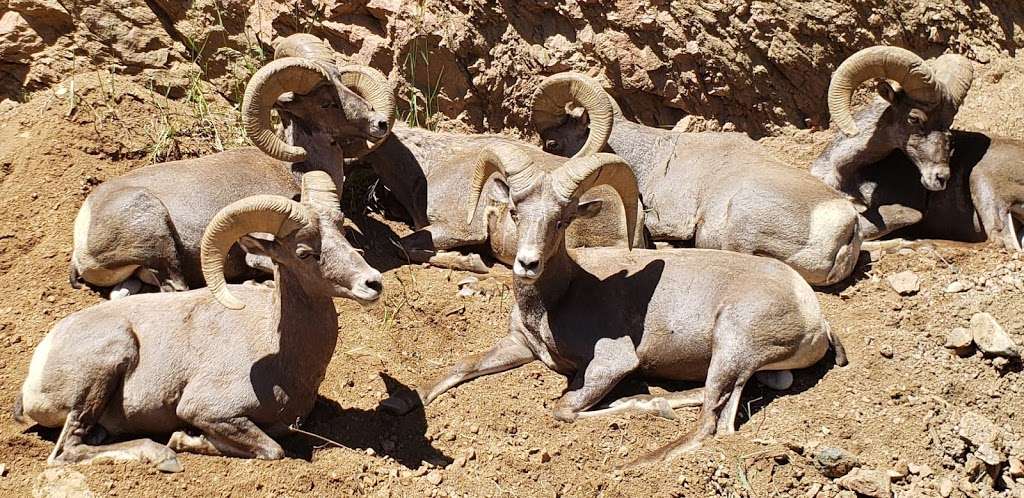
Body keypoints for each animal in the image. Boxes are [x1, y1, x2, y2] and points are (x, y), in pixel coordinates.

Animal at [16, 173, 385, 473]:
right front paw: (183, 440)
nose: (373, 283)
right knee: (67, 451)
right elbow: (272, 449)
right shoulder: (208, 410)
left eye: (342, 231)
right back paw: (162, 456)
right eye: (304, 253)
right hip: (110, 357)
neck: (282, 355)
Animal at [68, 35, 393, 299]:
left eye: (343, 84)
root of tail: (82, 234)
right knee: (176, 287)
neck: (293, 169)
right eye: (326, 103)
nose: (380, 123)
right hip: (156, 234)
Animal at [380, 143, 843, 463]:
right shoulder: (520, 345)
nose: (527, 263)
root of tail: (813, 313)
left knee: (711, 426)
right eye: (514, 212)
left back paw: (640, 453)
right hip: (745, 363)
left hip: (733, 344)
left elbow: (562, 409)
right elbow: (461, 367)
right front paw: (399, 402)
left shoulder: (612, 363)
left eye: (562, 220)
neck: (560, 299)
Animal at [806, 45, 1024, 247]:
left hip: (982, 182)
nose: (941, 177)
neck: (843, 173)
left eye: (949, 123)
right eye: (914, 118)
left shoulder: (906, 211)